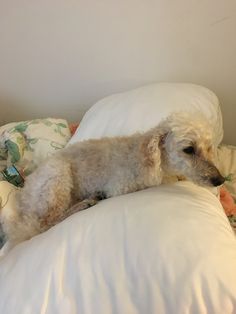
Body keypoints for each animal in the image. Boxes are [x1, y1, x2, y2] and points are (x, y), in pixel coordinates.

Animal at [0, 111, 225, 254]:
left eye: (209, 147)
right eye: (188, 149)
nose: (220, 180)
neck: (157, 160)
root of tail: (24, 199)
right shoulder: (122, 186)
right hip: (57, 176)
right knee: (47, 222)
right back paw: (84, 203)